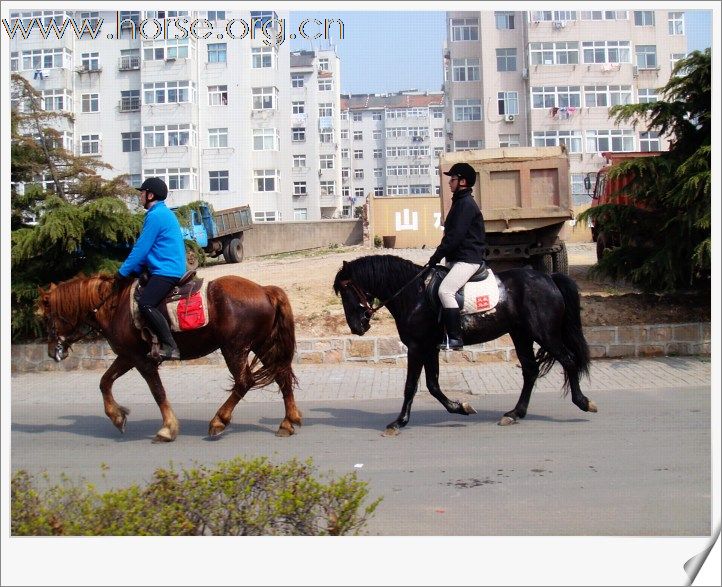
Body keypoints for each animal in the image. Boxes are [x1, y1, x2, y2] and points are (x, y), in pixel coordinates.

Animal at [37, 274, 300, 444]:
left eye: (47, 318)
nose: (52, 352)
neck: (113, 305)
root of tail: (265, 290)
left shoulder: (142, 361)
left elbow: (157, 392)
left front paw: (167, 428)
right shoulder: (127, 356)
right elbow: (105, 382)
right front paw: (117, 416)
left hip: (234, 349)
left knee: (244, 382)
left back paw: (219, 420)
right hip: (262, 345)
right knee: (282, 376)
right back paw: (288, 422)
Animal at [334, 258, 596, 436]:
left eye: (346, 291)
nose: (356, 328)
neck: (413, 293)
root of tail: (549, 278)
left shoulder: (417, 347)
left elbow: (411, 386)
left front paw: (398, 422)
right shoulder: (429, 347)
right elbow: (433, 385)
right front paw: (460, 407)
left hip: (544, 334)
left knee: (568, 360)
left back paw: (584, 402)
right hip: (521, 334)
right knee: (531, 370)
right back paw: (514, 414)